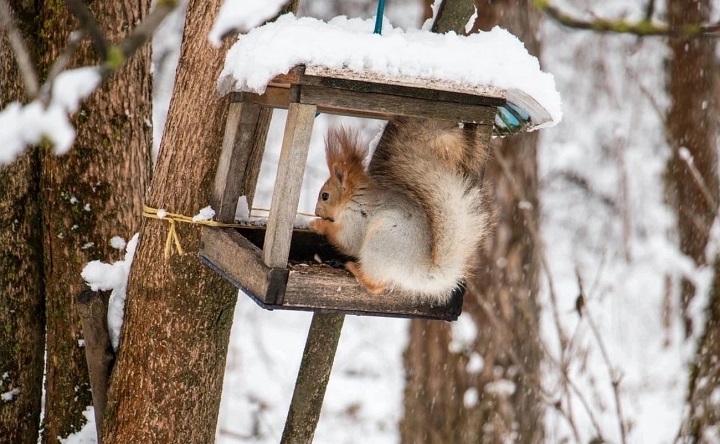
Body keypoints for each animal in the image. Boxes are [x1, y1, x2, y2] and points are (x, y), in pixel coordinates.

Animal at [310, 117, 496, 306]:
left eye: (325, 196)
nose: (316, 212)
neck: (352, 198)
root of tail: (418, 273)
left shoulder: (356, 219)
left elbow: (347, 240)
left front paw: (318, 225)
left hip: (381, 242)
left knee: (376, 285)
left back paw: (354, 269)